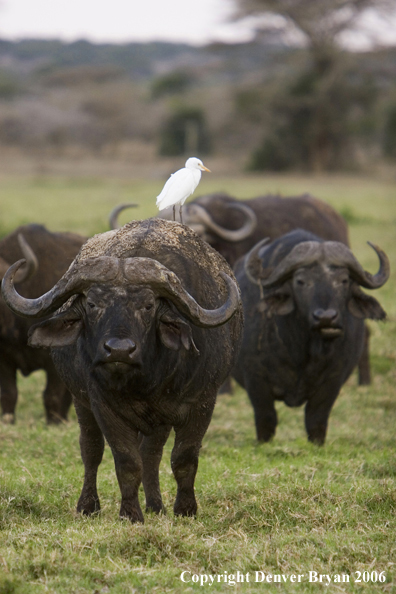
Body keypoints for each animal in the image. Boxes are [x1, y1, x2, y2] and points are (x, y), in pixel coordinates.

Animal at [3, 220, 243, 520]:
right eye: (92, 304)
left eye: (149, 305)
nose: (118, 350)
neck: (147, 380)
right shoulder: (103, 406)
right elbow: (127, 461)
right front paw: (130, 513)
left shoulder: (203, 403)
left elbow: (184, 458)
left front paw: (185, 509)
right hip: (82, 402)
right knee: (91, 450)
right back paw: (88, 505)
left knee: (152, 454)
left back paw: (156, 505)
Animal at [232, 229, 390, 442]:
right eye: (301, 281)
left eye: (344, 280)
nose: (326, 318)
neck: (302, 350)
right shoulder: (255, 380)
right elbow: (266, 420)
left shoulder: (333, 381)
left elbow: (316, 420)